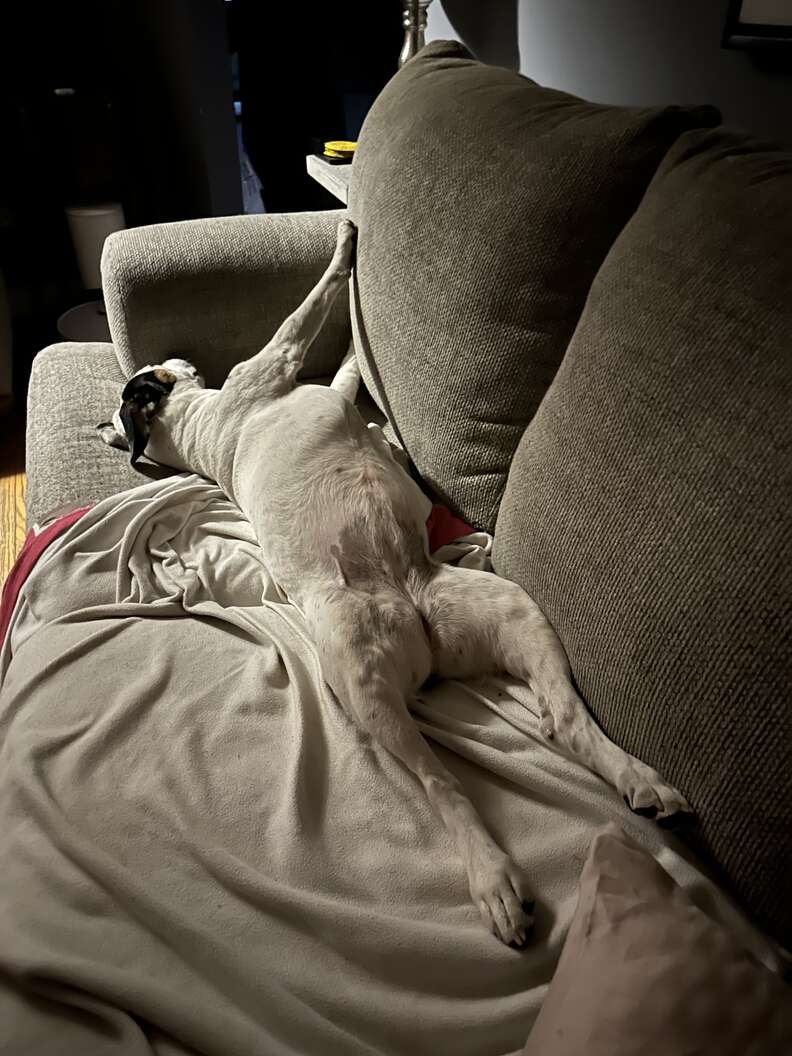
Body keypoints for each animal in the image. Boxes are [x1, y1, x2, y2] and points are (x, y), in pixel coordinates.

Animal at [98, 219, 690, 949]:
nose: (177, 356)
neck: (198, 433)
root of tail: (414, 605)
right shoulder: (278, 356)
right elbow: (313, 306)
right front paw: (346, 243)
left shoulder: (310, 384)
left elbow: (350, 368)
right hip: (368, 687)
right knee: (443, 786)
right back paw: (493, 877)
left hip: (513, 609)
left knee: (571, 723)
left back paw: (635, 777)